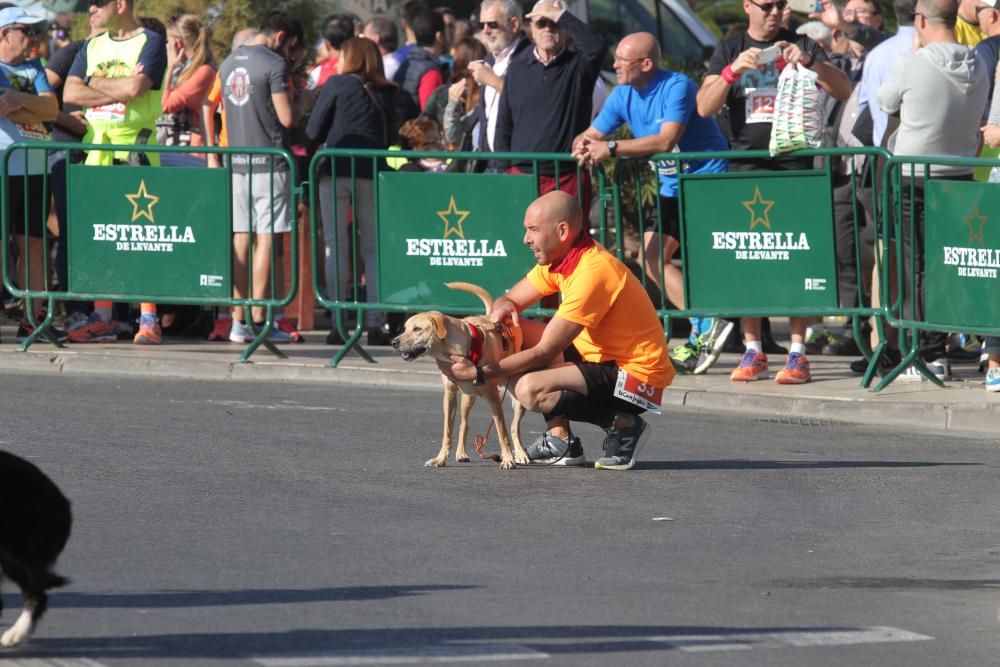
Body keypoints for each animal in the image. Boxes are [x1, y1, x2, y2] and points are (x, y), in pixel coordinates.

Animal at [392, 282, 532, 470]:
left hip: (517, 400)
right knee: (464, 424)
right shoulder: (450, 395)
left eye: (417, 329)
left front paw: (508, 458)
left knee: (514, 427)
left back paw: (520, 454)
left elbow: (502, 431)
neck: (452, 350)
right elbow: (447, 431)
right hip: (467, 398)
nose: (393, 342)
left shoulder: (493, 398)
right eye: (405, 328)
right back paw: (462, 453)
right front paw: (440, 459)